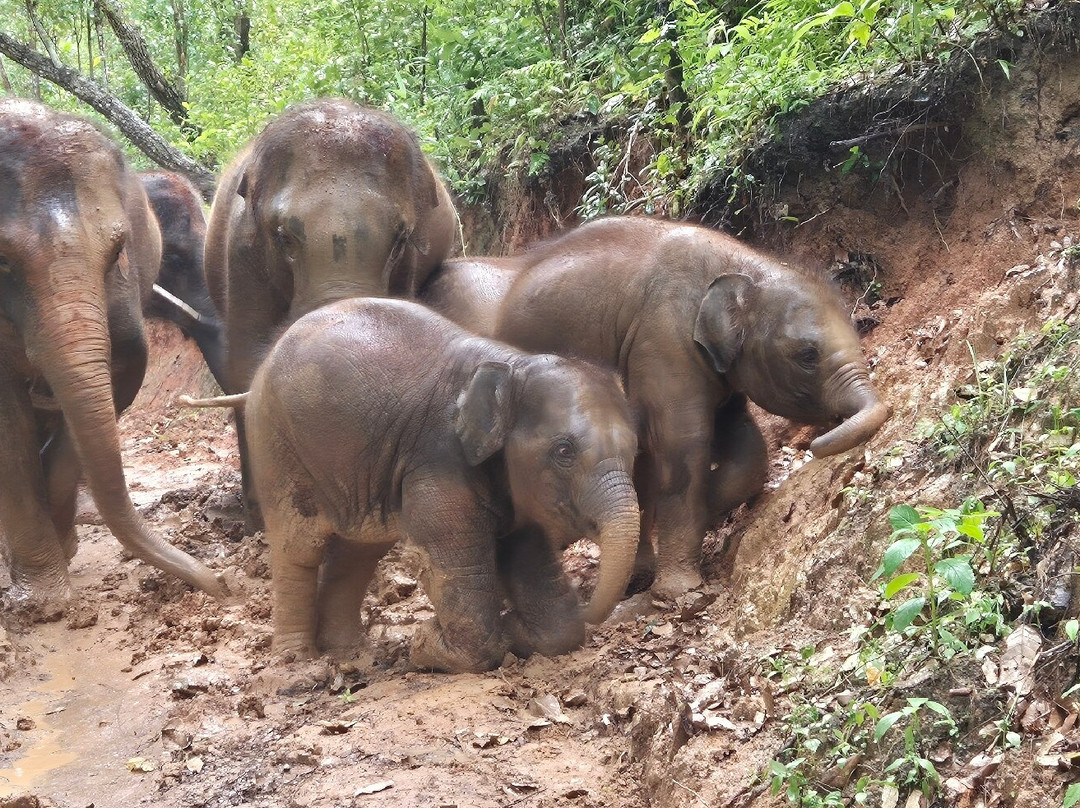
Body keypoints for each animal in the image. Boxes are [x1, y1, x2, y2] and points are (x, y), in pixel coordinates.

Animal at [183, 298, 640, 672]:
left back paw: (348, 651)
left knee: (358, 549)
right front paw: (425, 645)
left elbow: (534, 567)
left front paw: (517, 632)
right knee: (299, 547)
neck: (511, 364)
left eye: (636, 449)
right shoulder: (438, 459)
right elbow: (453, 567)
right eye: (564, 451)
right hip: (276, 446)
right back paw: (297, 665)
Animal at [422, 216, 888, 600]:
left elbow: (744, 440)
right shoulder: (663, 338)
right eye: (807, 355)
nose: (817, 445)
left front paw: (709, 510)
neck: (743, 263)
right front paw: (681, 589)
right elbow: (683, 443)